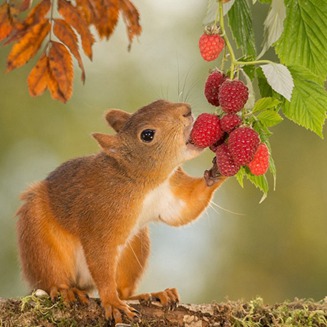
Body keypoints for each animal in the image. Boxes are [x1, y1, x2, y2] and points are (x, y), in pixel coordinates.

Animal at [16, 99, 227, 322]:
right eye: (147, 135)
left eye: (160, 101)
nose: (186, 110)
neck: (145, 183)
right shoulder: (101, 216)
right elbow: (101, 258)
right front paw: (112, 302)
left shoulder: (170, 193)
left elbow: (186, 208)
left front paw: (218, 170)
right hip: (39, 240)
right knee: (51, 277)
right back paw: (66, 290)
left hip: (135, 247)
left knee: (124, 290)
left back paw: (154, 294)